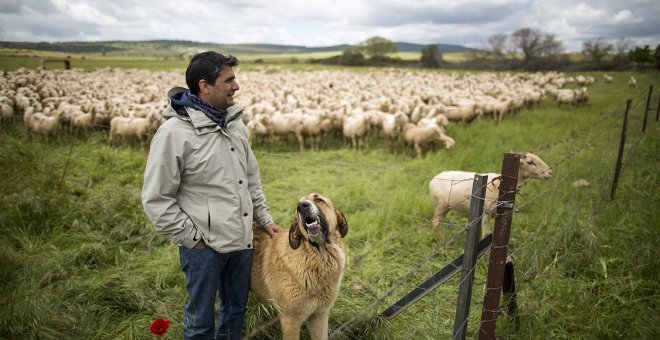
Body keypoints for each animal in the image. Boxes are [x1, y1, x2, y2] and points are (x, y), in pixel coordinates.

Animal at [249, 194, 350, 340]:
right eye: (298, 204)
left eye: (318, 199)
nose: (302, 206)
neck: (320, 253)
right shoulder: (290, 320)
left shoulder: (319, 316)